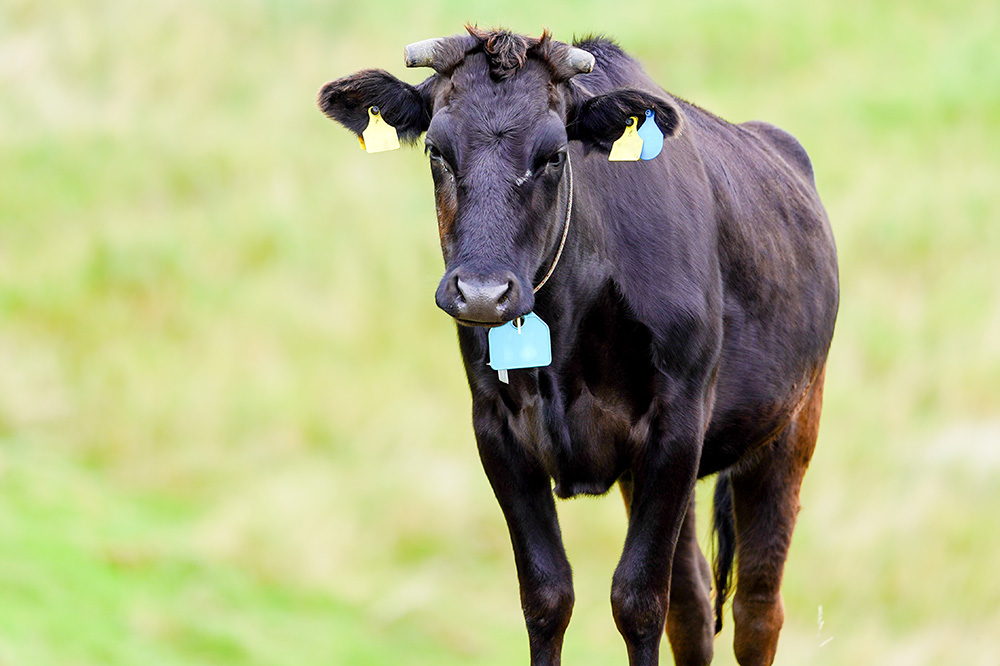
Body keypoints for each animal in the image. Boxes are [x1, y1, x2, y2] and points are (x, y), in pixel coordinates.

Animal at [318, 27, 836, 664]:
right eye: (437, 150)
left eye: (554, 154)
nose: (483, 292)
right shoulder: (497, 430)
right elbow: (547, 596)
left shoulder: (678, 422)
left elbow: (638, 599)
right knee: (692, 602)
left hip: (790, 428)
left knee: (757, 608)